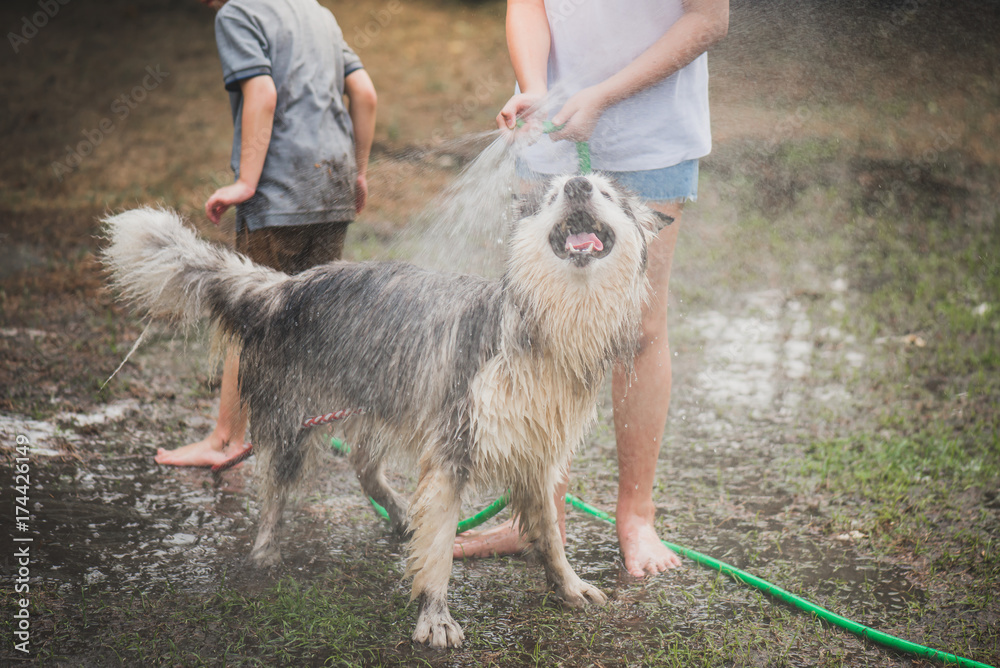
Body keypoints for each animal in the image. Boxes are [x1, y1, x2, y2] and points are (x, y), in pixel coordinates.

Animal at [101, 174, 672, 648]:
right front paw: (435, 618)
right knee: (275, 491)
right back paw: (266, 553)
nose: (577, 185)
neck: (546, 326)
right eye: (554, 194)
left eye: (606, 190)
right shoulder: (451, 450)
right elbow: (438, 550)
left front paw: (569, 586)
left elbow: (550, 534)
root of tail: (284, 285)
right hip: (295, 422)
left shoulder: (536, 454)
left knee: (363, 467)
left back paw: (399, 514)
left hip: (378, 401)